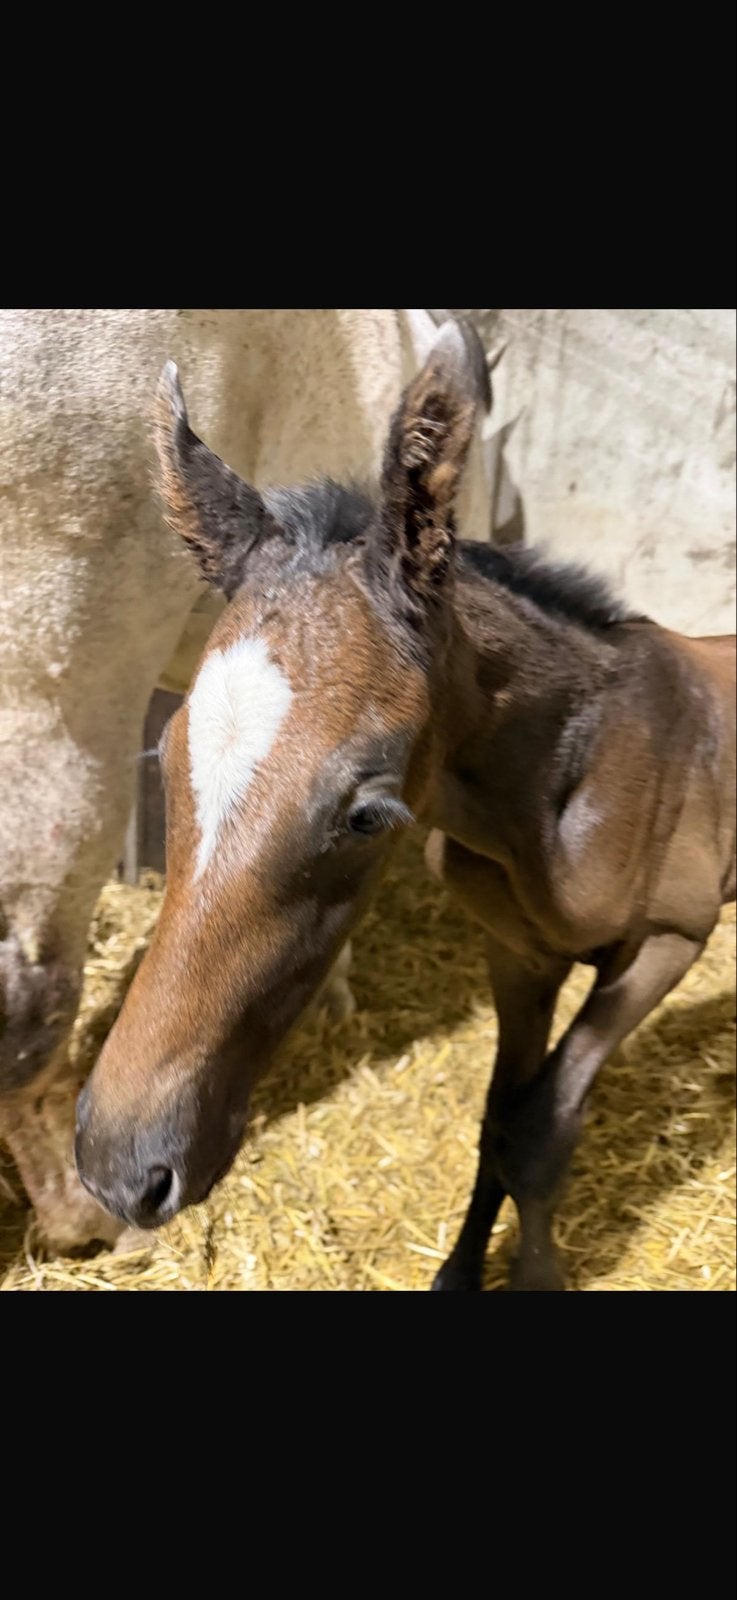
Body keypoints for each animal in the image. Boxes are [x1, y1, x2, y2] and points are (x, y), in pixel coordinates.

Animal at [75, 323, 736, 1289]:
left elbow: (541, 1130)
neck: (576, 778)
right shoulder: (519, 952)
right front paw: (459, 1272)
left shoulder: (668, 940)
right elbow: (498, 1122)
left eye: (366, 816)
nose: (120, 1168)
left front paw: (535, 1276)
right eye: (164, 759)